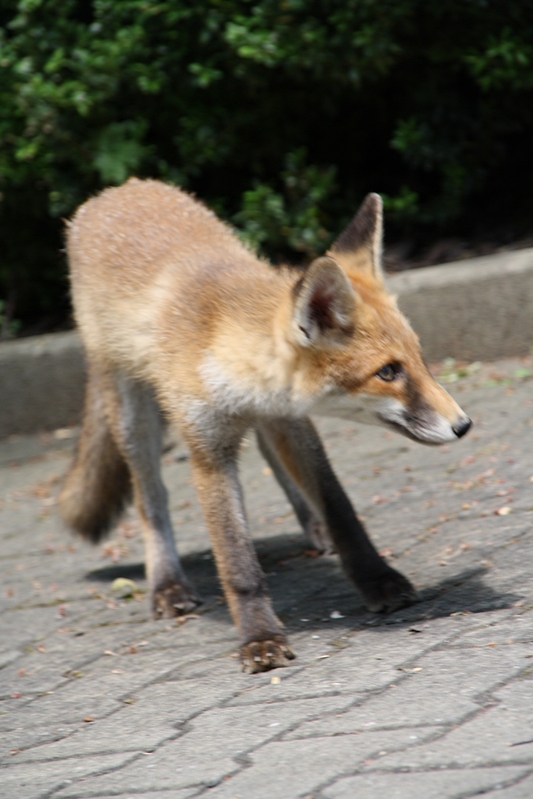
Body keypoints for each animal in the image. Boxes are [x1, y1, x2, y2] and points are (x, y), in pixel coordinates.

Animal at [59, 178, 471, 673]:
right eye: (388, 372)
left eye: (418, 359)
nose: (463, 425)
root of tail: (118, 189)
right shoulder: (208, 449)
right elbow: (237, 562)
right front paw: (259, 637)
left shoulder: (290, 419)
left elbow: (341, 510)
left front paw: (377, 578)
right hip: (132, 414)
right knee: (149, 499)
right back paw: (167, 582)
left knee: (272, 459)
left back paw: (312, 528)